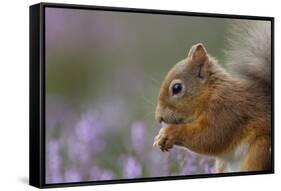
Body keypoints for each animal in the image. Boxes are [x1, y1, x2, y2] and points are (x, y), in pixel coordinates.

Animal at [152, 21, 270, 172]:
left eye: (176, 88)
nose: (159, 118)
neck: (209, 94)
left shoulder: (227, 109)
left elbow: (211, 137)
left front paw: (169, 133)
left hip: (260, 149)